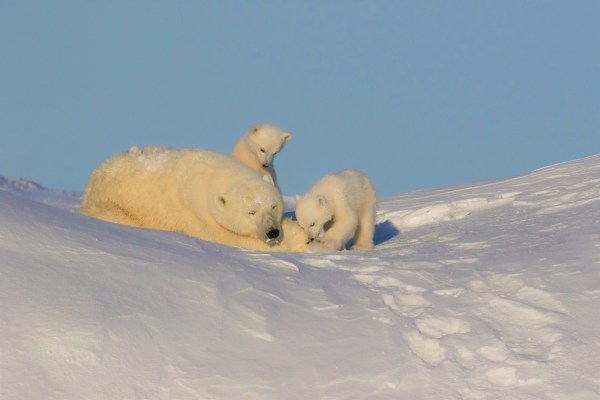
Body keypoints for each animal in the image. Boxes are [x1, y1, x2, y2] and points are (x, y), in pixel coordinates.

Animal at [82, 145, 308, 252]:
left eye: (274, 205)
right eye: (251, 212)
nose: (272, 232)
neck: (212, 175)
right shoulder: (202, 216)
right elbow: (233, 239)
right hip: (112, 206)